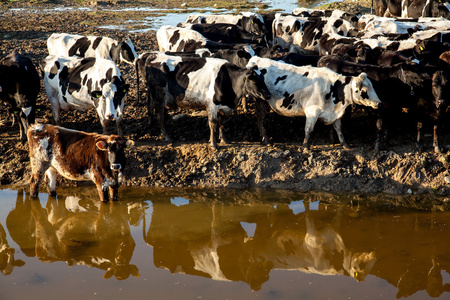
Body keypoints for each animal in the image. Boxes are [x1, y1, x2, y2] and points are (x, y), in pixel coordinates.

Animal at [246, 55, 380, 149]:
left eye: (373, 86)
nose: (379, 103)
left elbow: (339, 129)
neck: (333, 88)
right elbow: (308, 130)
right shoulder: (312, 112)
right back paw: (266, 140)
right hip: (260, 99)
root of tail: (256, 59)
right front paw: (306, 147)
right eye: (364, 90)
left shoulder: (334, 113)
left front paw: (346, 144)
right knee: (261, 119)